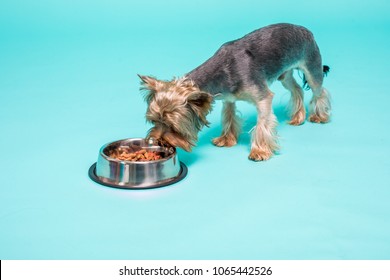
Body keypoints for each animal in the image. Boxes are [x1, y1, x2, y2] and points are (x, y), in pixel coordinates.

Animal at [139, 23, 330, 161]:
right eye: (154, 121)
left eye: (174, 127)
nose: (158, 142)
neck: (222, 69)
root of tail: (305, 29)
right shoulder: (228, 98)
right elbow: (229, 117)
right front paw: (226, 139)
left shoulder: (263, 97)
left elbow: (262, 123)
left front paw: (259, 151)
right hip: (284, 74)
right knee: (297, 89)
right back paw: (298, 117)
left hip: (311, 63)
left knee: (319, 90)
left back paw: (319, 116)